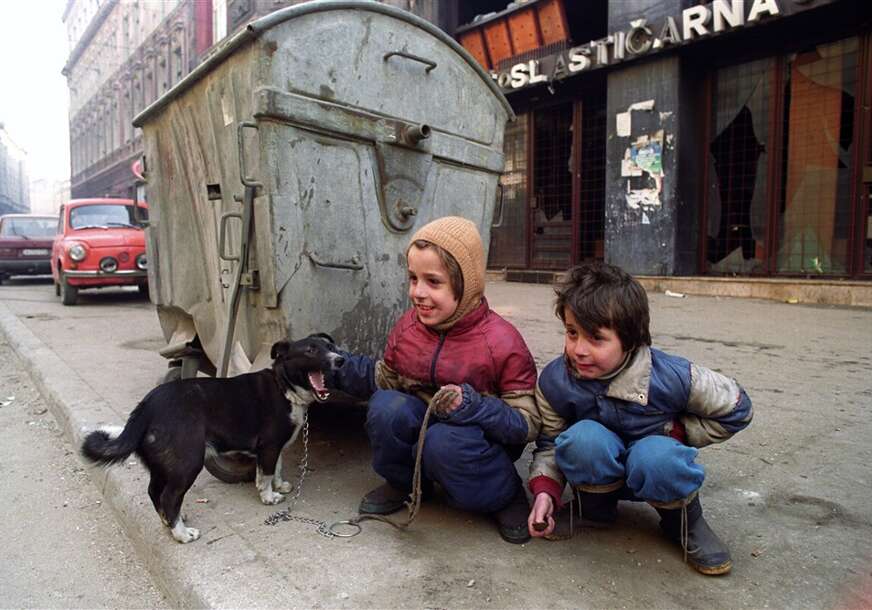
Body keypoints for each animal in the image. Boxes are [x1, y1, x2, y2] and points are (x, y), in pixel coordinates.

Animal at [80, 332, 342, 540]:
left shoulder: (275, 447)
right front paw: (268, 496)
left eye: (331, 346)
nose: (340, 360)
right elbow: (265, 474)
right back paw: (182, 534)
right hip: (188, 462)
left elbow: (276, 468)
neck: (283, 386)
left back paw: (169, 521)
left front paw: (279, 486)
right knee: (169, 496)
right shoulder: (269, 445)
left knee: (154, 492)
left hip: (163, 465)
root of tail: (147, 404)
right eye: (310, 350)